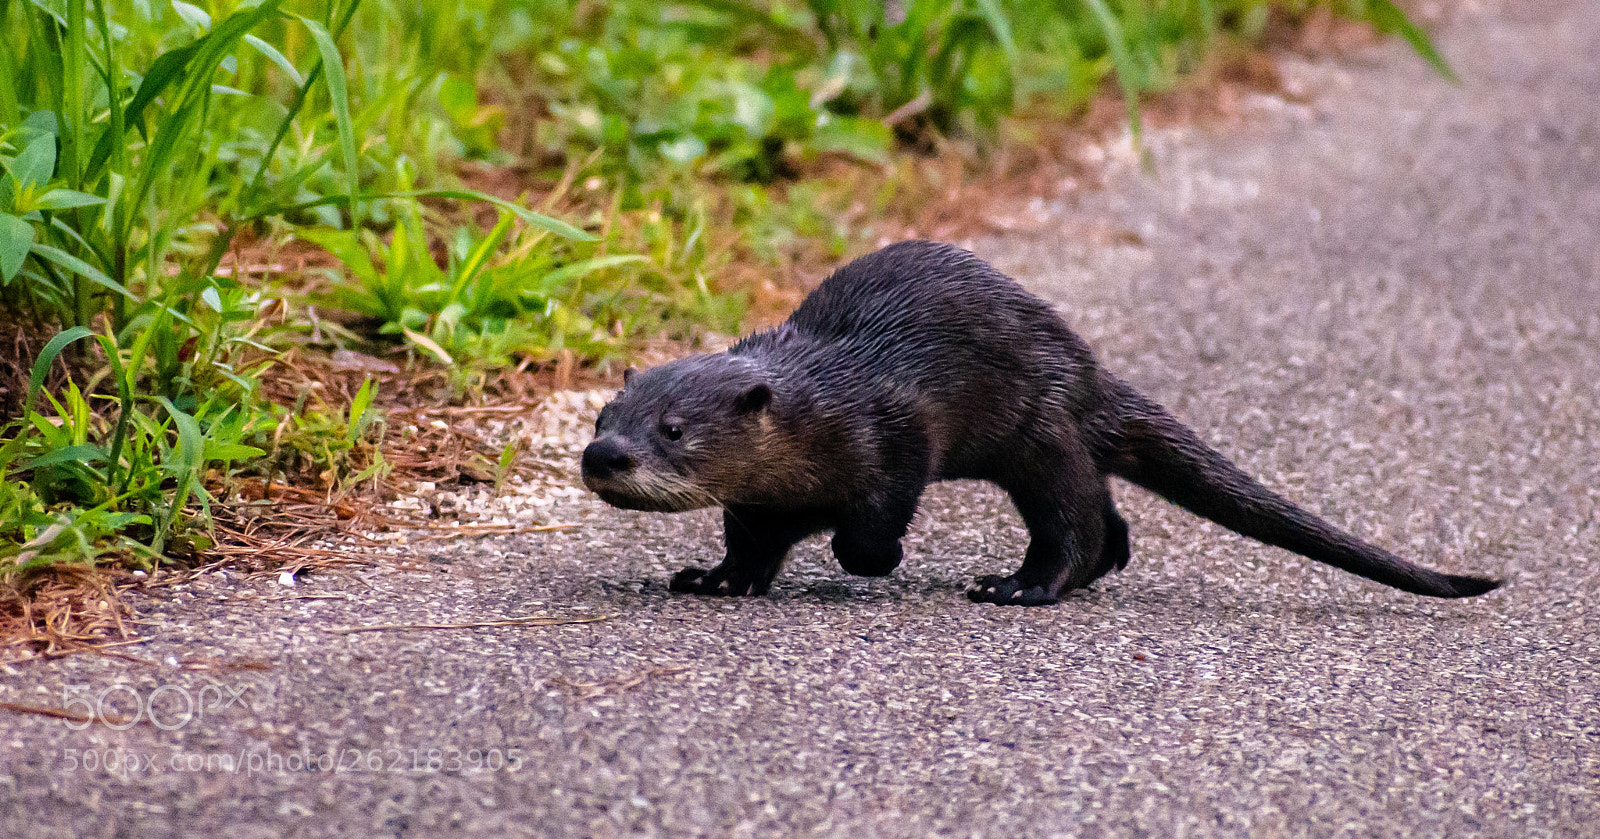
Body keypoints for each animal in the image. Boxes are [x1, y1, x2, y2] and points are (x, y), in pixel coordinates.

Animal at [581, 240, 1499, 606]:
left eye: (672, 427)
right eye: (603, 413)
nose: (604, 455)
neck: (825, 409)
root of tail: (1086, 367)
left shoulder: (895, 430)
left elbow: (877, 515)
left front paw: (873, 559)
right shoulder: (760, 501)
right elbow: (749, 543)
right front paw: (713, 578)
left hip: (1040, 430)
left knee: (1074, 518)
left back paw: (1023, 585)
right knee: (1109, 516)